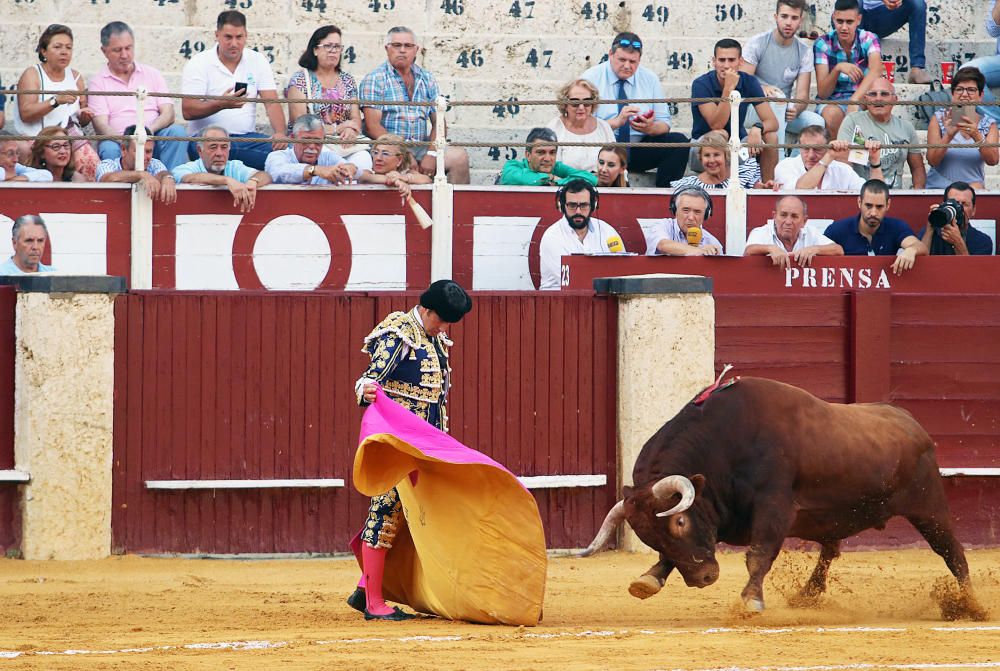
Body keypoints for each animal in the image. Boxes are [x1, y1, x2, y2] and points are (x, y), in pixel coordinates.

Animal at [584, 376, 988, 624]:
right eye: (649, 535)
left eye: (679, 521)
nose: (703, 579)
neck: (724, 445)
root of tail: (911, 422)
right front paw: (647, 580)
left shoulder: (773, 507)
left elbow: (759, 555)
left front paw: (750, 603)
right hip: (837, 516)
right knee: (831, 549)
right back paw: (808, 595)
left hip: (929, 508)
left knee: (954, 553)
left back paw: (971, 606)